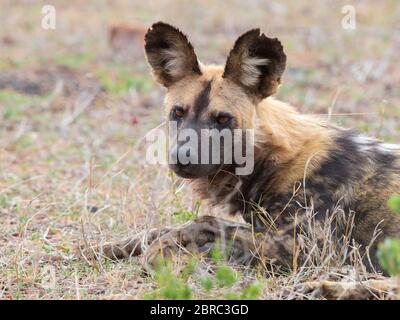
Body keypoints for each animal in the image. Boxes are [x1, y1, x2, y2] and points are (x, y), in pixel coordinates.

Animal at [88, 21, 400, 272]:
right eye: (178, 112)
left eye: (223, 119)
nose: (182, 158)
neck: (275, 160)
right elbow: (159, 229)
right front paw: (102, 249)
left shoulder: (310, 250)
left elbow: (204, 223)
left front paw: (161, 251)